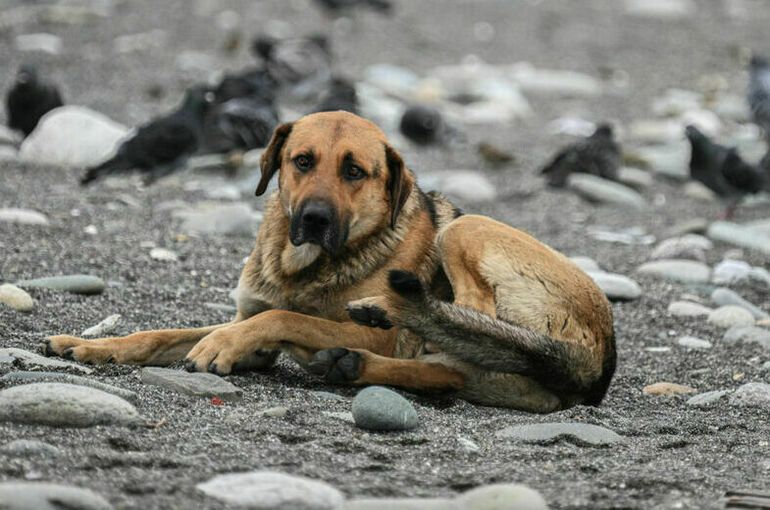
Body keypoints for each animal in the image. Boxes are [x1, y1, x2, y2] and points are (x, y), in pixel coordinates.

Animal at [46, 111, 612, 414]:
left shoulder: (343, 327)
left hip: (467, 228)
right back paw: (348, 365)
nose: (315, 218)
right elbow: (161, 333)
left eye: (355, 171)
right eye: (302, 161)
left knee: (465, 319)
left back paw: (367, 335)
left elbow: (286, 317)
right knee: (449, 371)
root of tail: (602, 351)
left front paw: (233, 345)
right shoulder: (246, 316)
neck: (302, 264)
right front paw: (95, 347)